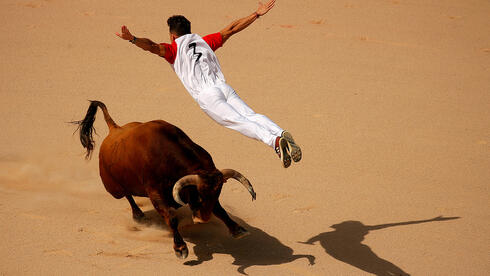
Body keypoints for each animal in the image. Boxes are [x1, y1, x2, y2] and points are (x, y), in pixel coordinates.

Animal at [73, 101, 256, 258]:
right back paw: (138, 215)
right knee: (127, 195)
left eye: (218, 192)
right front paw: (180, 248)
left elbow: (219, 209)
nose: (202, 219)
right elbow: (172, 218)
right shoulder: (155, 194)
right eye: (196, 193)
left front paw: (237, 229)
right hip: (114, 189)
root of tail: (114, 129)